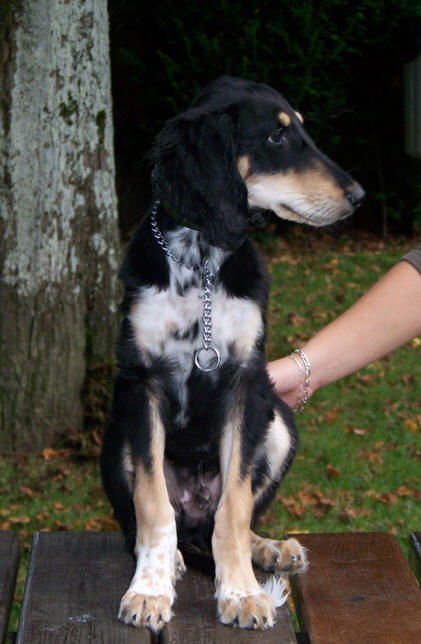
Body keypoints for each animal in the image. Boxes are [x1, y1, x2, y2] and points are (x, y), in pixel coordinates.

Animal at [101, 76, 364, 632]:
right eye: (278, 138)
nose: (357, 196)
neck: (200, 262)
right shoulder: (140, 382)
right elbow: (152, 503)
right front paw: (150, 587)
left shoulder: (248, 381)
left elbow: (237, 507)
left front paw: (241, 590)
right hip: (115, 437)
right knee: (158, 520)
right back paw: (175, 558)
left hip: (280, 421)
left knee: (223, 517)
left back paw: (267, 549)